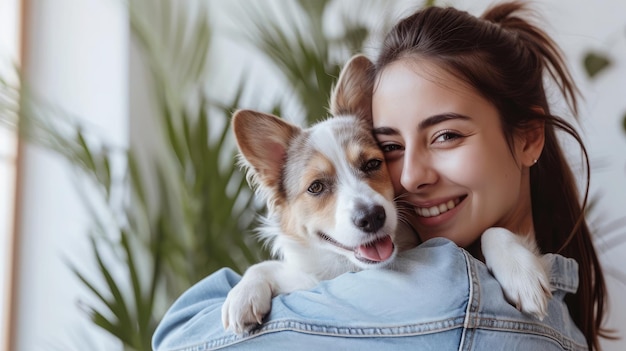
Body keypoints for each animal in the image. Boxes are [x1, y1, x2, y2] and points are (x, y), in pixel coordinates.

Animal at [221, 55, 552, 336]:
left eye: (372, 164)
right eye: (316, 187)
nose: (371, 217)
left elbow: (492, 230)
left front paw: (520, 270)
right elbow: (263, 266)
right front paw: (242, 295)